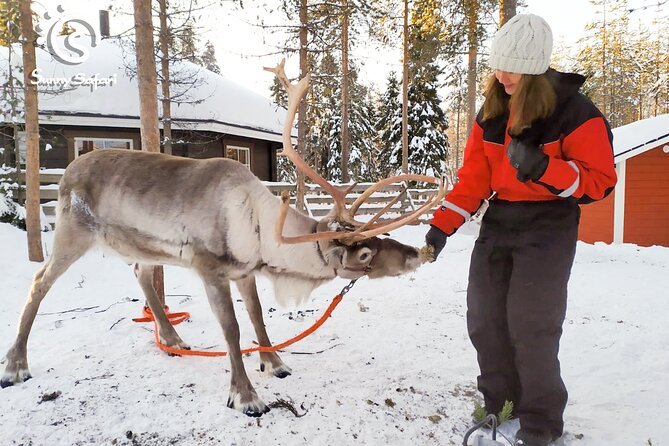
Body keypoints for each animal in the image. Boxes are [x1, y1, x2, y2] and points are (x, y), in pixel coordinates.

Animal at [1, 60, 445, 417]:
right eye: (366, 253)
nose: (416, 253)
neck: (260, 228)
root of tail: (68, 170)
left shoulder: (245, 270)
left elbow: (257, 315)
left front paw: (275, 362)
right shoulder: (209, 268)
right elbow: (231, 328)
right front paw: (246, 395)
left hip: (143, 245)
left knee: (141, 274)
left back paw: (173, 338)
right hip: (72, 232)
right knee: (39, 283)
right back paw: (16, 365)